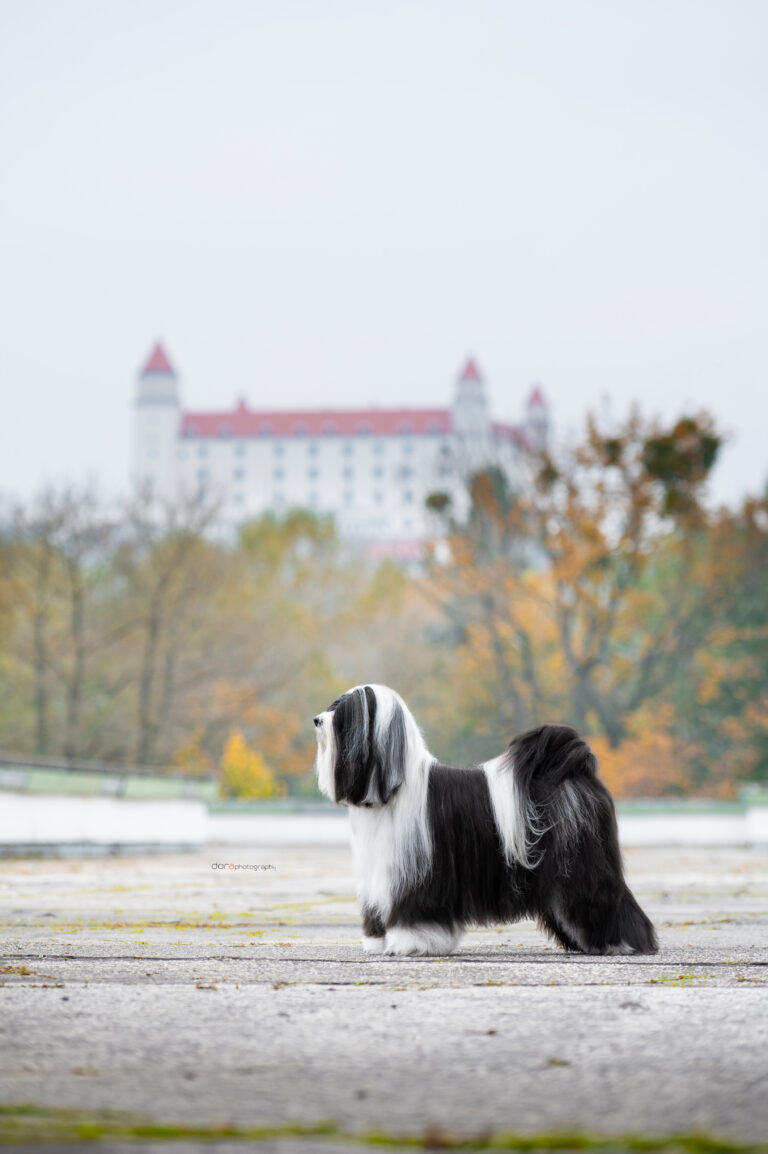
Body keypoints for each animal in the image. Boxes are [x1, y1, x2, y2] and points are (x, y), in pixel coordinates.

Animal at [313, 683, 654, 955]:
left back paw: (621, 943)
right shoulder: (378, 873)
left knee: (606, 900)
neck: (394, 788)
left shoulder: (416, 871)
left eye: (344, 713)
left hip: (584, 866)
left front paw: (411, 942)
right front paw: (377, 942)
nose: (317, 720)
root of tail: (575, 769)